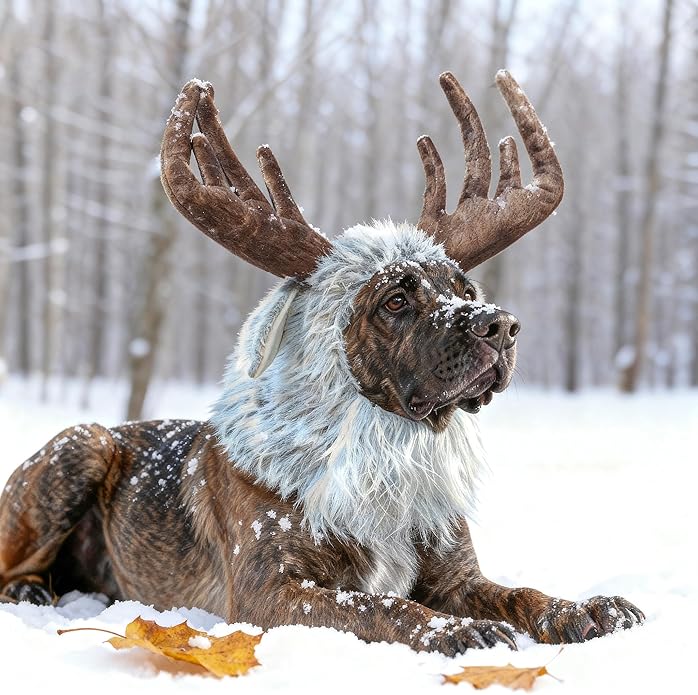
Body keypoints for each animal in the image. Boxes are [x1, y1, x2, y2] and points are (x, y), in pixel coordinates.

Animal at [0, 70, 643, 655]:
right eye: (395, 300)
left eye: (464, 287)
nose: (500, 326)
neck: (382, 453)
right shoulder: (272, 590)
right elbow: (379, 605)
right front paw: (454, 630)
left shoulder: (457, 574)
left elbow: (518, 593)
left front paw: (583, 608)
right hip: (81, 444)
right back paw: (32, 592)